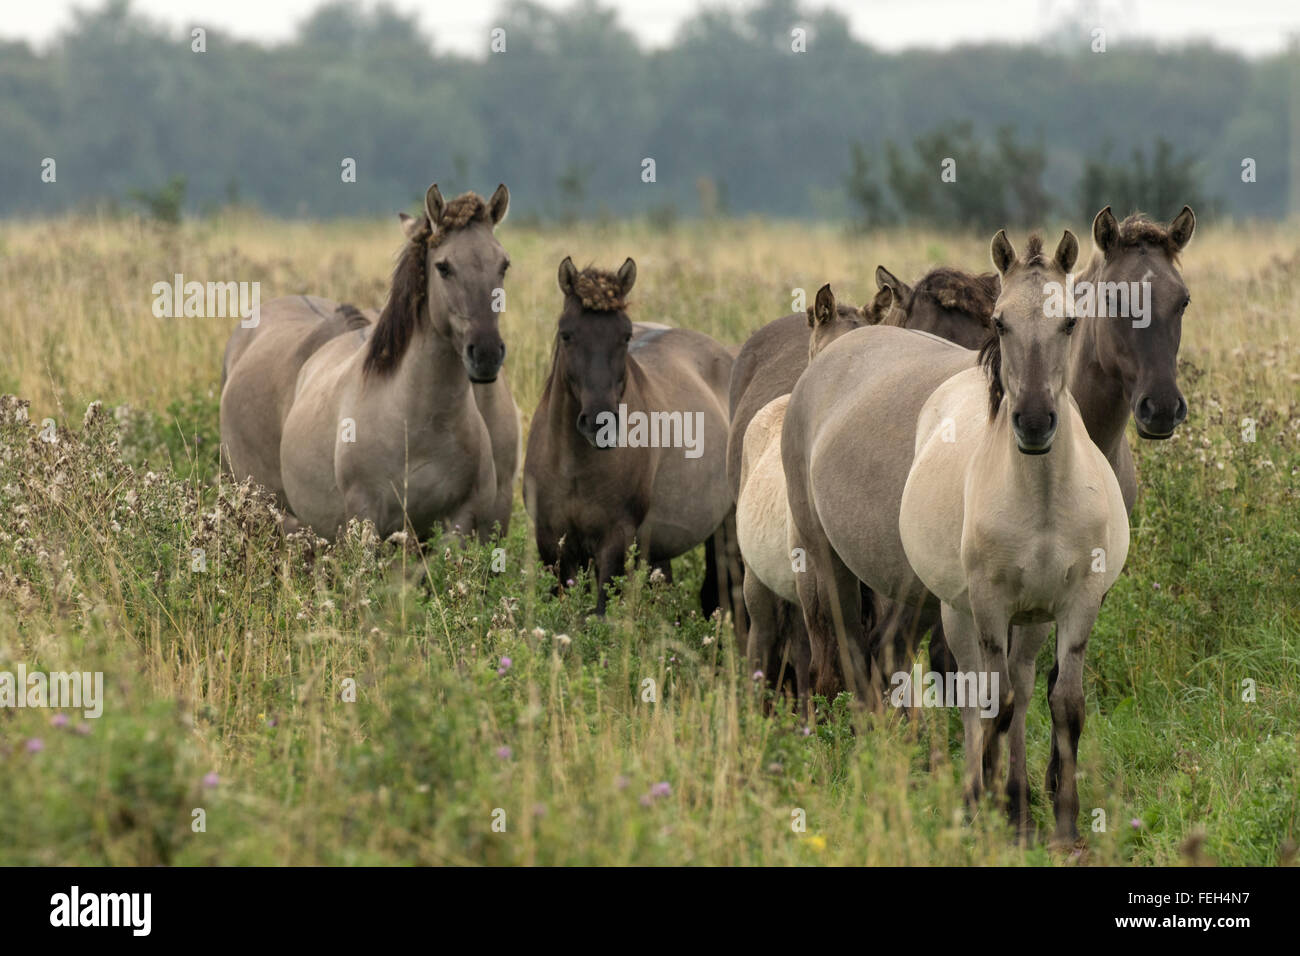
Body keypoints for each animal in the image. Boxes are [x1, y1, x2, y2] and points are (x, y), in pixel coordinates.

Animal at [219, 180, 517, 538]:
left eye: (503, 265)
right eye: (443, 267)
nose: (485, 353)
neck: (417, 422)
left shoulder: (461, 521)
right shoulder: (365, 518)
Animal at [904, 234, 1128, 842]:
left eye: (1070, 322)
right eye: (1000, 322)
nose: (1032, 422)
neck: (1044, 500)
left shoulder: (1077, 603)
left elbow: (1064, 705)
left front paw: (1064, 826)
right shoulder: (989, 604)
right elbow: (991, 702)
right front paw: (981, 810)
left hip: (1031, 622)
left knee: (1025, 692)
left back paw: (1018, 802)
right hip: (961, 613)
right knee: (976, 696)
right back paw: (976, 796)